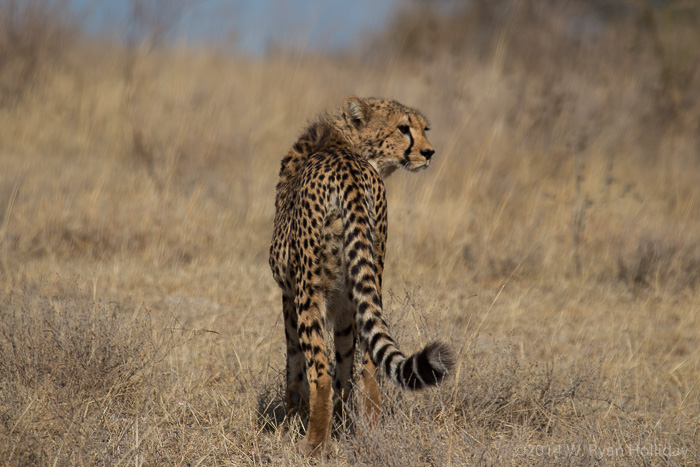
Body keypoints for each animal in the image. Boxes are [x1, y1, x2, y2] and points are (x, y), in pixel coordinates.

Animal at [269, 96, 455, 455]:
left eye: (423, 128)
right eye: (403, 128)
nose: (429, 152)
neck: (346, 143)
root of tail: (348, 170)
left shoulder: (288, 295)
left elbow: (295, 366)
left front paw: (291, 424)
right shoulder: (344, 305)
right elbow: (347, 368)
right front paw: (344, 426)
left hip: (308, 293)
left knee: (321, 373)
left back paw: (313, 445)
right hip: (370, 276)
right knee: (370, 365)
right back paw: (368, 434)